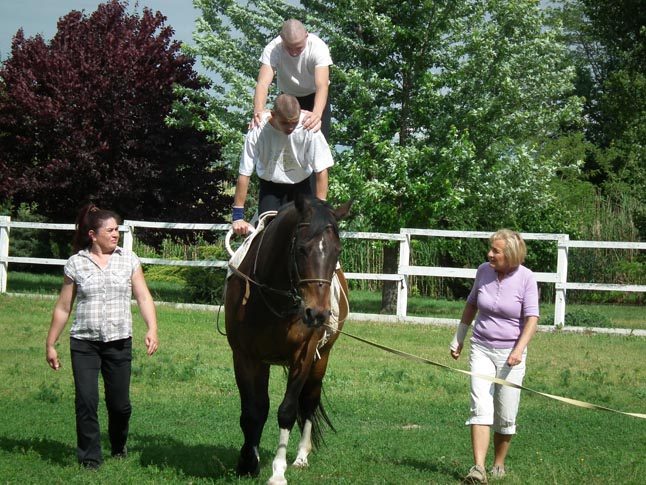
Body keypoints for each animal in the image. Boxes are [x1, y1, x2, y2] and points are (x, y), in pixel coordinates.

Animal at [225, 194, 352, 484]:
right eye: (302, 249)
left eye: (337, 251)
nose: (317, 313)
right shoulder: (246, 357)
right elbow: (253, 411)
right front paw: (248, 461)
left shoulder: (303, 356)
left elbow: (287, 411)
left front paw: (277, 472)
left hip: (321, 360)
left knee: (309, 401)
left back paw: (302, 456)